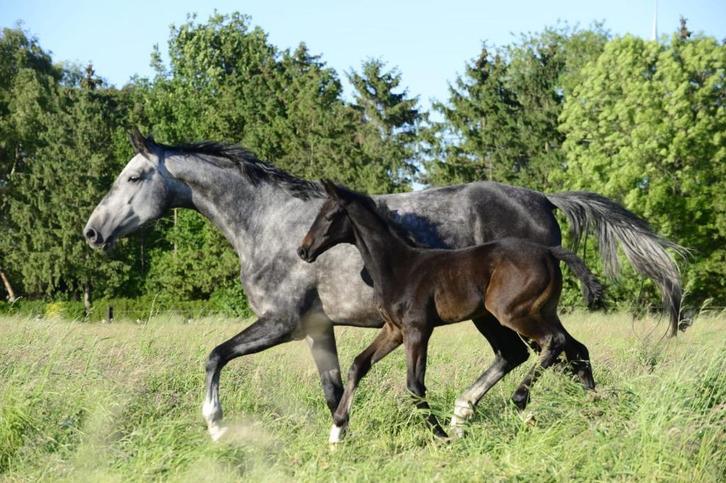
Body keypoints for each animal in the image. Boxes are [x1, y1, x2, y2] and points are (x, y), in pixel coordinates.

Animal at [298, 180, 602, 440]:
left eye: (329, 216)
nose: (303, 250)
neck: (399, 266)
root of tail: (550, 251)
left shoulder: (417, 329)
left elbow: (414, 385)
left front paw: (441, 435)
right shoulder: (394, 330)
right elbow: (358, 365)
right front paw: (337, 432)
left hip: (512, 314)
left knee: (552, 342)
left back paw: (521, 400)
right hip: (543, 311)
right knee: (575, 347)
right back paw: (593, 407)